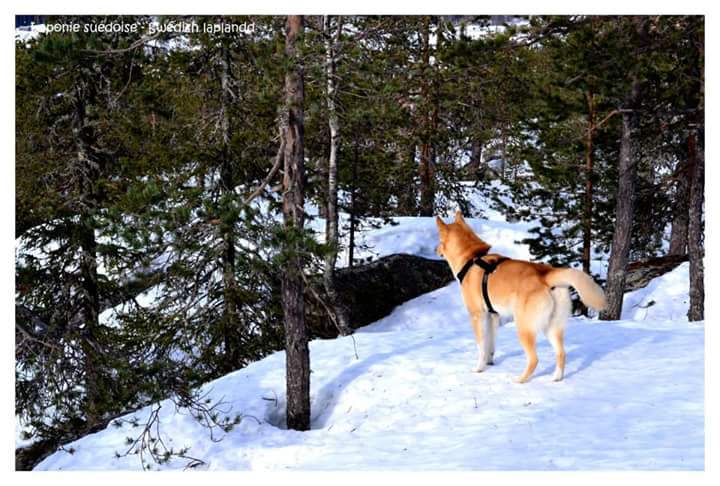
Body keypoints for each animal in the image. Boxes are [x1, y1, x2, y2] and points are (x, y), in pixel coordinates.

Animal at [436, 212, 604, 384]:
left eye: (439, 241)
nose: (436, 250)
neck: (472, 258)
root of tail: (545, 275)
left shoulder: (478, 316)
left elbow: (481, 346)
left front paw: (479, 368)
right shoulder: (493, 316)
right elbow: (491, 344)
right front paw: (490, 362)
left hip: (524, 328)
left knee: (534, 359)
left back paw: (519, 380)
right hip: (552, 327)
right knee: (561, 353)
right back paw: (556, 378)